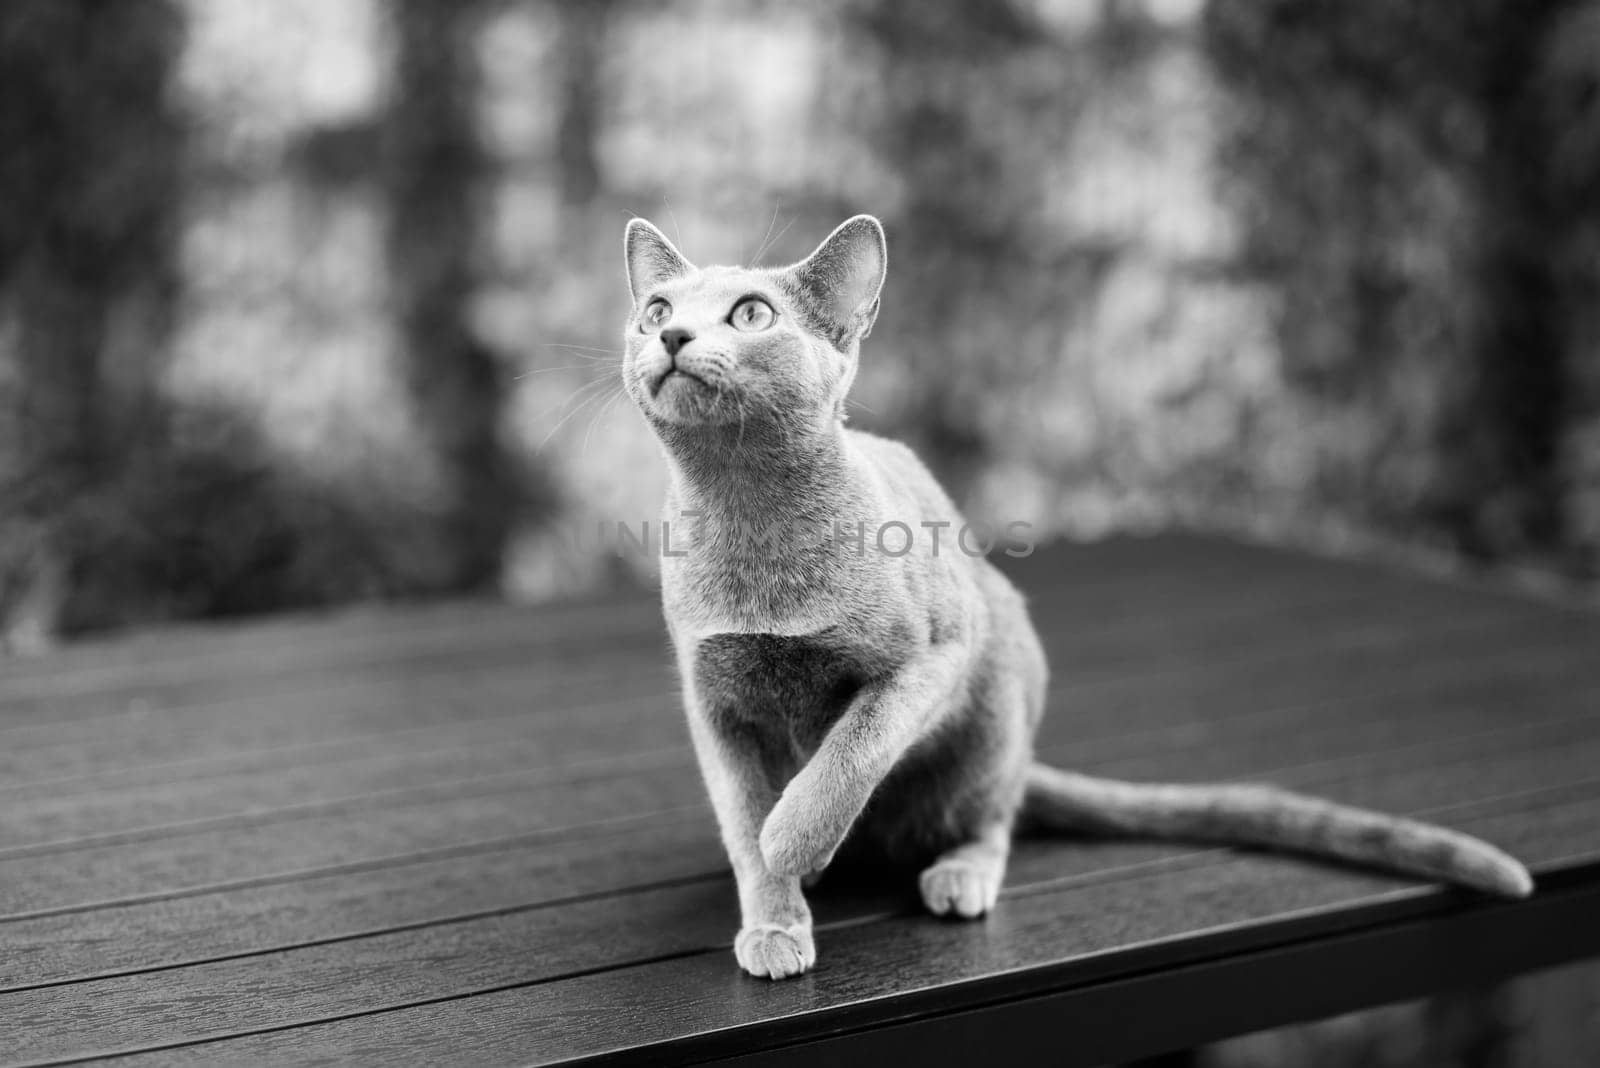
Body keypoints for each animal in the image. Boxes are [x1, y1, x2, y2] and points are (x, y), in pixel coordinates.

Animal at [617, 212, 1529, 978]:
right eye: (655, 307)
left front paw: (794, 839)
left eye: (750, 315)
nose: (670, 332)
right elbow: (741, 816)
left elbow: (850, 750)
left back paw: (958, 874)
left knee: (995, 816)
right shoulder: (713, 704)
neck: (750, 519)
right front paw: (774, 916)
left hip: (998, 694)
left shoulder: (937, 653)